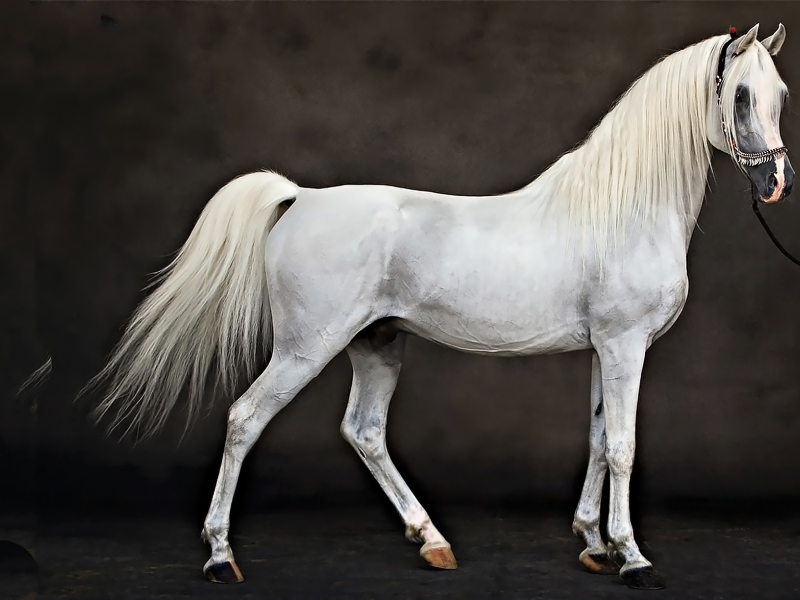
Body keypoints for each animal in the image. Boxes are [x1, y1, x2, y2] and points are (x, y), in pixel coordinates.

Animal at [89, 24, 792, 592]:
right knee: (244, 419)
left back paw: (431, 541)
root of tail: (301, 197)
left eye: (781, 94)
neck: (622, 209)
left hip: (376, 344)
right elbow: (622, 445)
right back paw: (220, 557)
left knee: (364, 431)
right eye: (739, 97)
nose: (775, 183)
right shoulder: (624, 346)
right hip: (305, 348)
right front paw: (632, 557)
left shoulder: (604, 349)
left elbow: (596, 439)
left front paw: (593, 545)